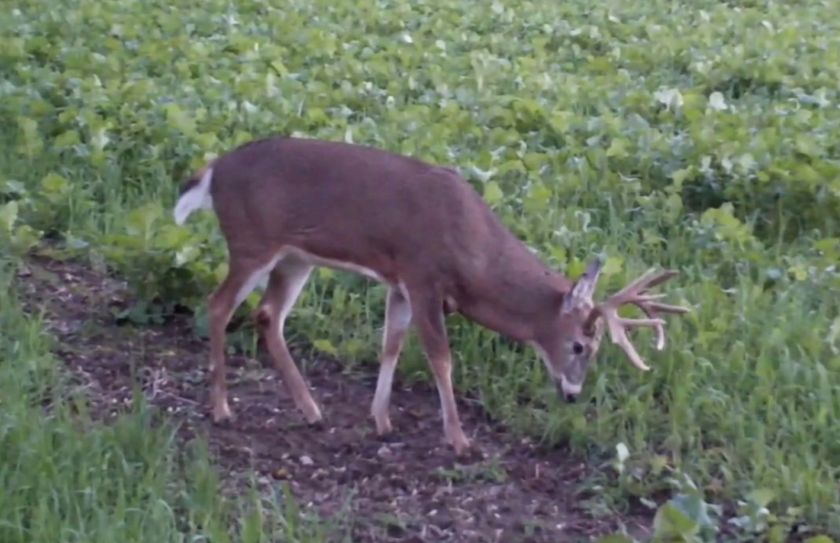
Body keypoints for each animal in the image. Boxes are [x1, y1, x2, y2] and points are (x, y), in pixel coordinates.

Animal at [172, 135, 688, 454]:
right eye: (581, 345)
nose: (574, 394)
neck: (474, 254)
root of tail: (212, 171)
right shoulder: (423, 277)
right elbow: (440, 357)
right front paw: (458, 439)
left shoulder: (400, 282)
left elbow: (391, 345)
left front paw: (381, 420)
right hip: (251, 242)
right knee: (219, 305)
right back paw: (222, 409)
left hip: (296, 257)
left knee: (268, 315)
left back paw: (313, 410)